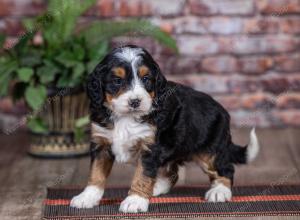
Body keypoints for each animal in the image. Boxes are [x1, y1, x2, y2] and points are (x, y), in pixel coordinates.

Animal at [71, 45, 260, 213]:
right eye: (117, 81)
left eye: (146, 79)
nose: (135, 101)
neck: (126, 118)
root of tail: (223, 112)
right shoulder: (101, 143)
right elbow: (96, 173)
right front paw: (87, 197)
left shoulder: (149, 146)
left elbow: (143, 174)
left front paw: (135, 200)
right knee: (172, 172)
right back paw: (156, 188)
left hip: (211, 150)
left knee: (226, 168)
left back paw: (219, 192)